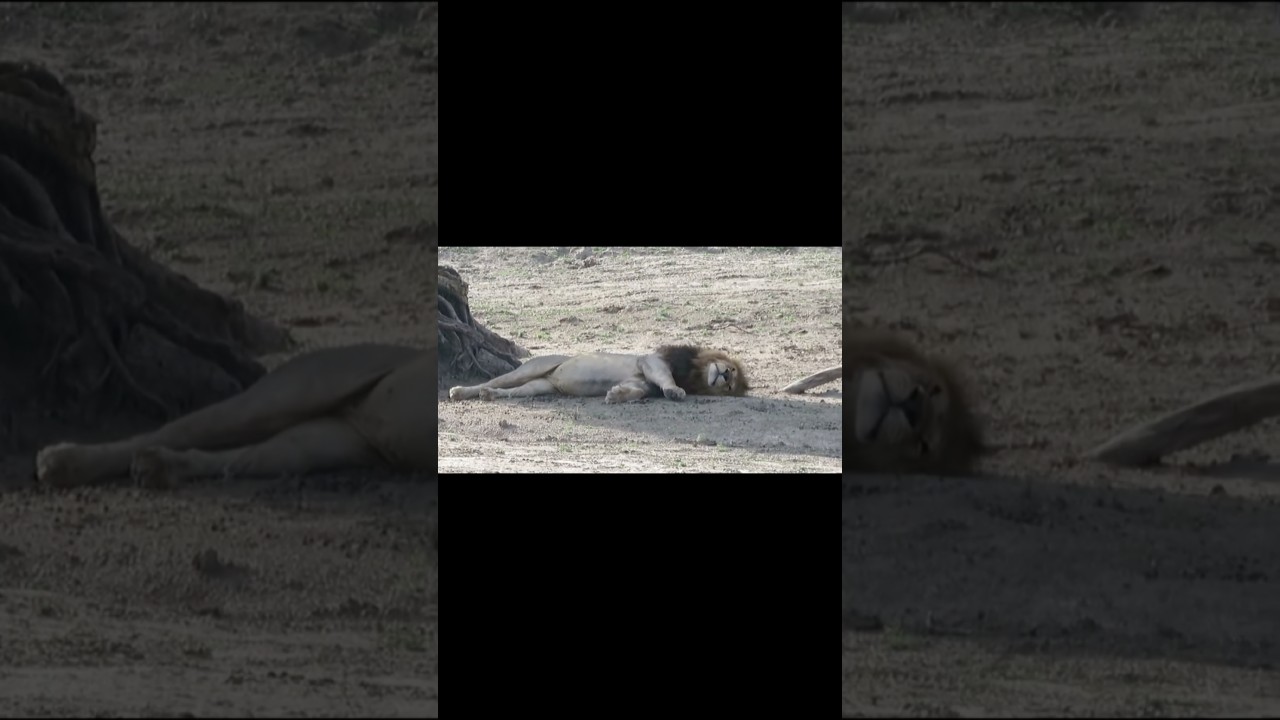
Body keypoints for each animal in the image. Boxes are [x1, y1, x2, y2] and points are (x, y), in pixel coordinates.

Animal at [35, 344, 432, 489]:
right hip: (286, 394)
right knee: (177, 429)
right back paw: (60, 460)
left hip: (329, 441)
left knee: (246, 459)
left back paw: (156, 468)